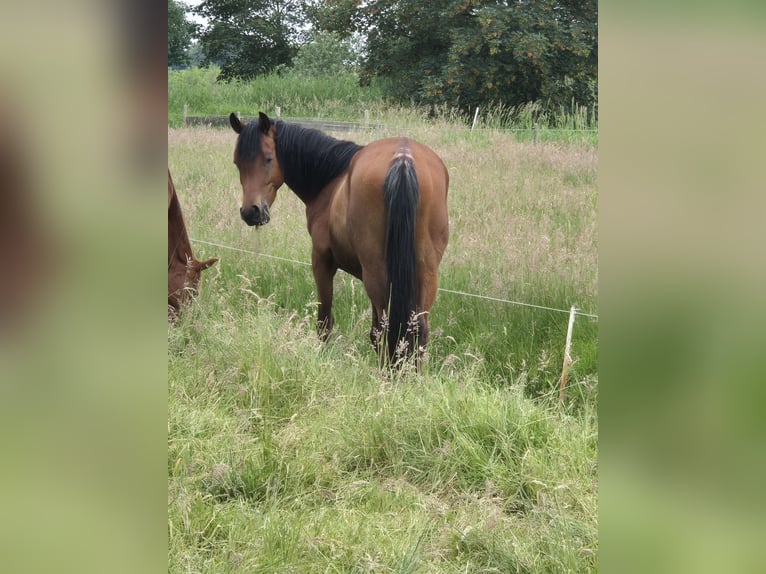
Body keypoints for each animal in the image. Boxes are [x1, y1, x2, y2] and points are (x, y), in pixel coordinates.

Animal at [231, 112, 452, 364]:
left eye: (268, 159)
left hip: (377, 274)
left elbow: (325, 322)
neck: (332, 181)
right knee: (417, 331)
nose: (251, 212)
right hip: (425, 273)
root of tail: (404, 158)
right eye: (237, 163)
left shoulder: (322, 262)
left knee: (389, 329)